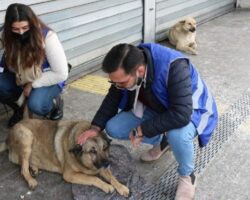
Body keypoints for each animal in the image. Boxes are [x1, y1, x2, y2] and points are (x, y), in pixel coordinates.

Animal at [0, 119, 129, 197]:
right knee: (23, 168)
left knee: (25, 163)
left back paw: (34, 168)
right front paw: (107, 186)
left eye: (105, 148)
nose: (107, 163)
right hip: (27, 137)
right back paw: (31, 180)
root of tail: (7, 138)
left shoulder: (102, 167)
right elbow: (94, 178)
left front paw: (121, 187)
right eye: (92, 151)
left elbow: (112, 177)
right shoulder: (69, 175)